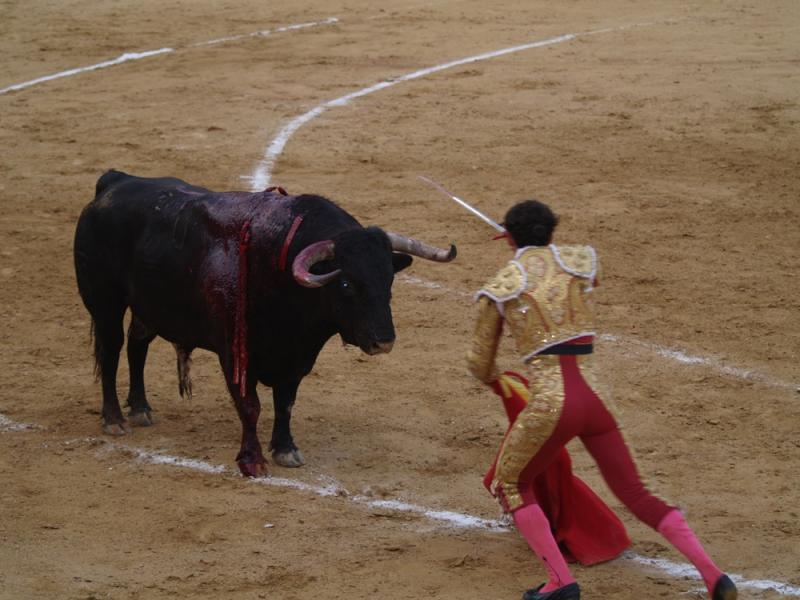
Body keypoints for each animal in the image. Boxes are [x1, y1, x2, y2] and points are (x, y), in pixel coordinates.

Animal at [75, 170, 456, 478]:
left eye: (389, 279)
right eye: (347, 284)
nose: (383, 341)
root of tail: (114, 181)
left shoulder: (296, 357)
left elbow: (285, 403)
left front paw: (286, 450)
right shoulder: (234, 353)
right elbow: (250, 406)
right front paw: (253, 459)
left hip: (148, 307)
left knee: (137, 344)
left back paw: (140, 408)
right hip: (105, 303)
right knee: (111, 352)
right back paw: (114, 419)